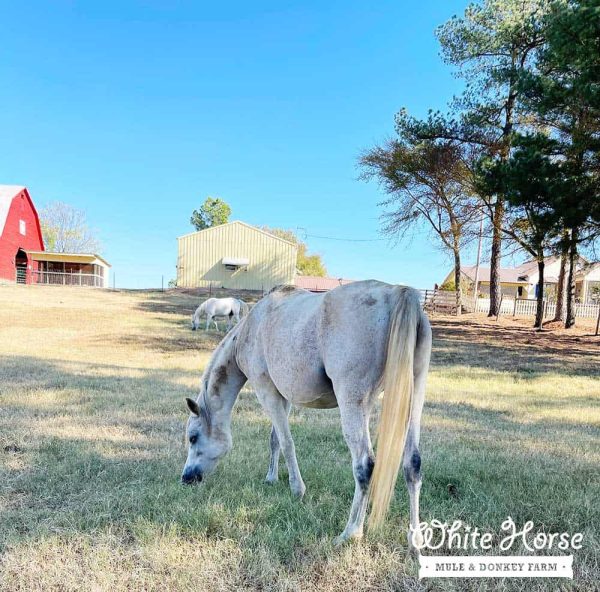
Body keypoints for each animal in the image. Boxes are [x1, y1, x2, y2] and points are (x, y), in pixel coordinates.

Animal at [179, 282, 432, 552]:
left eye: (193, 438)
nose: (186, 478)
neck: (249, 330)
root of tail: (398, 293)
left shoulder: (266, 391)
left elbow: (286, 442)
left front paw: (297, 489)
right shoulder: (283, 396)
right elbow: (275, 439)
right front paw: (271, 478)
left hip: (353, 402)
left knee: (365, 464)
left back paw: (351, 532)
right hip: (413, 396)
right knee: (413, 464)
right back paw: (415, 538)